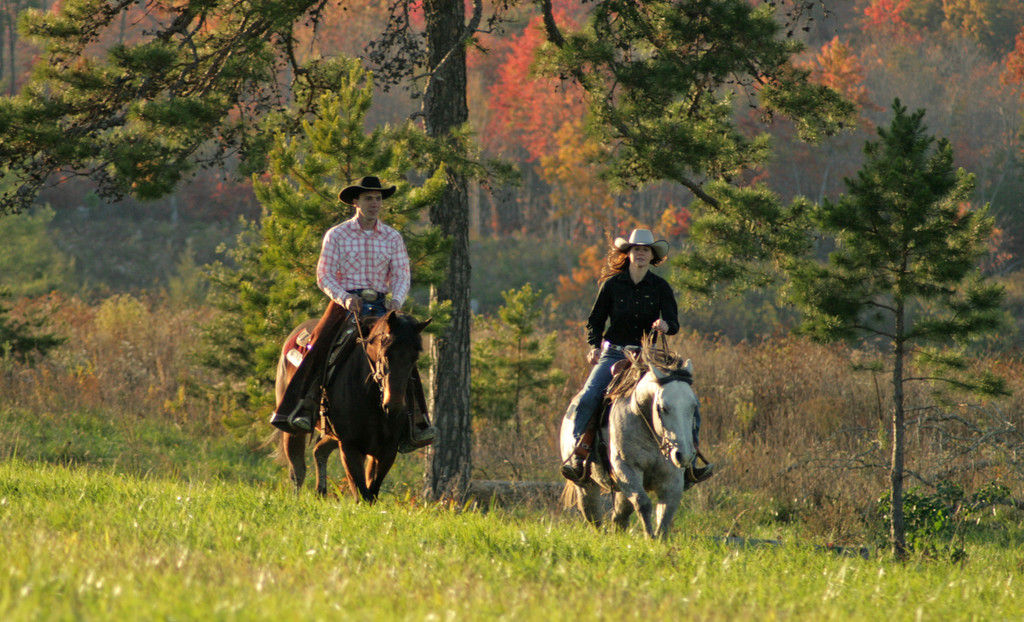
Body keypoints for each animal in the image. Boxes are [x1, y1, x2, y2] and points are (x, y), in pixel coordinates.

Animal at [274, 309, 430, 502]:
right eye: (386, 353)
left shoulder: (387, 449)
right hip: (294, 432)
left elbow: (372, 491)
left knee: (319, 451)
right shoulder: (350, 446)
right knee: (297, 470)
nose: (394, 406)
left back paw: (321, 492)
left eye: (414, 357)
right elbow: (361, 493)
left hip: (332, 435)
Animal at [557, 340, 700, 541]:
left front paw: (658, 541)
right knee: (593, 515)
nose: (685, 456)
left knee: (619, 517)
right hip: (586, 485)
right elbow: (643, 503)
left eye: (693, 406)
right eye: (662, 407)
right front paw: (649, 537)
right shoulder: (626, 469)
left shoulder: (672, 479)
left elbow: (665, 514)